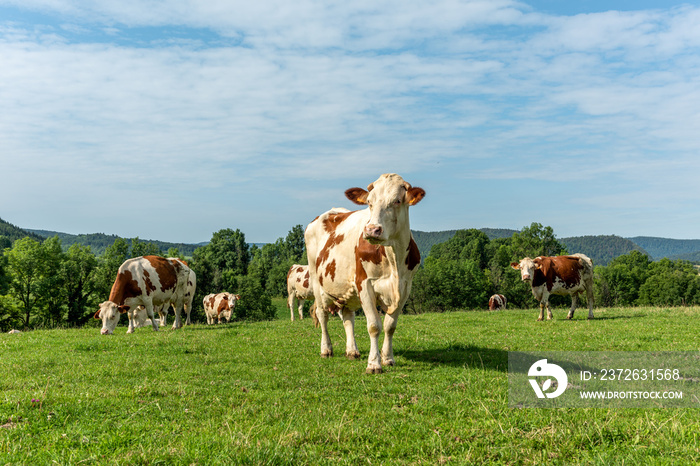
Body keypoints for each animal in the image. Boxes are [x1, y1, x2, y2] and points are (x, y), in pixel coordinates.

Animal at [306, 173, 426, 374]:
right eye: (369, 202)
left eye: (397, 200)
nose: (372, 230)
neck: (393, 257)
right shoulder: (365, 284)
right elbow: (374, 326)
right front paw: (374, 364)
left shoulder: (405, 287)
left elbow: (390, 326)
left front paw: (388, 358)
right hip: (317, 282)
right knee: (322, 316)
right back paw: (326, 349)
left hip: (345, 291)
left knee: (348, 317)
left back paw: (352, 351)